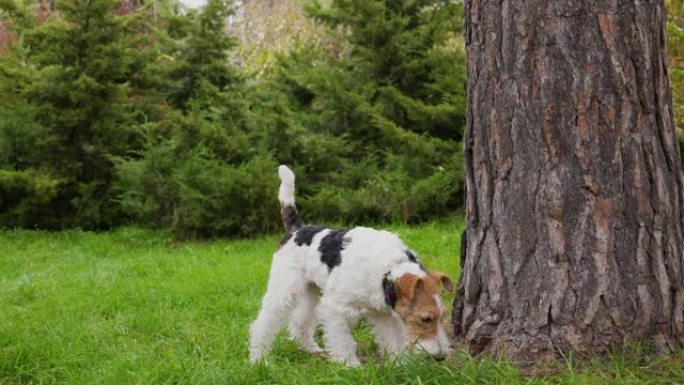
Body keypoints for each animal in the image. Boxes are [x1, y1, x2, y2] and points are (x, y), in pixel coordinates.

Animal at [247, 165, 454, 366]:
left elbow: (392, 339)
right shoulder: (335, 308)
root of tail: (297, 228)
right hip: (284, 288)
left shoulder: (383, 313)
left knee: (300, 321)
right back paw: (260, 358)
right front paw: (350, 365)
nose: (441, 356)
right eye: (425, 318)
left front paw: (400, 365)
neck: (387, 272)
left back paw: (310, 348)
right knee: (263, 323)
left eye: (443, 316)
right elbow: (343, 341)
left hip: (313, 290)